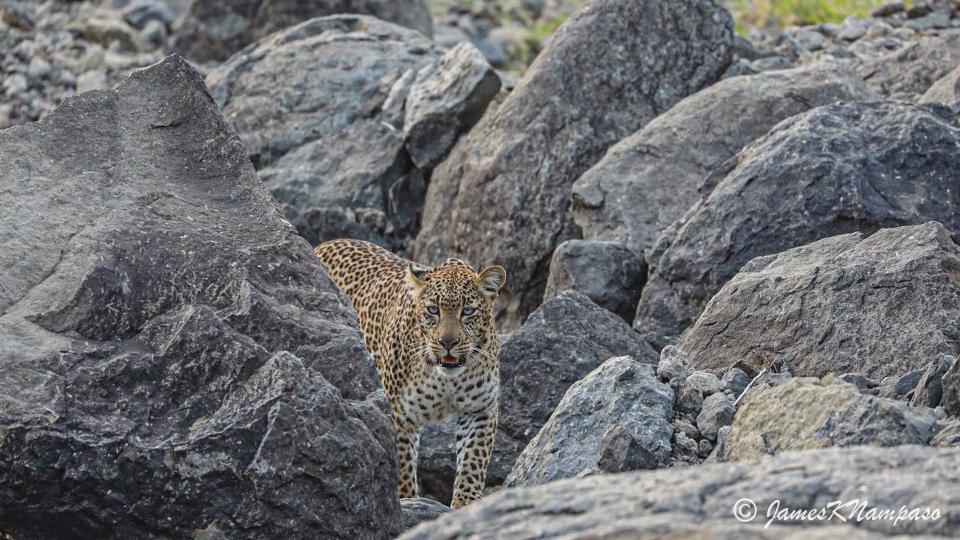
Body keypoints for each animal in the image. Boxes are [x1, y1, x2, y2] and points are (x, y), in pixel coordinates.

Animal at [316, 238, 510, 508]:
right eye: (433, 310)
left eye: (468, 311)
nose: (447, 342)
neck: (447, 380)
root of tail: (325, 243)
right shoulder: (399, 413)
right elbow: (402, 463)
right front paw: (405, 499)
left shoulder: (480, 409)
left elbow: (473, 460)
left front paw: (466, 503)